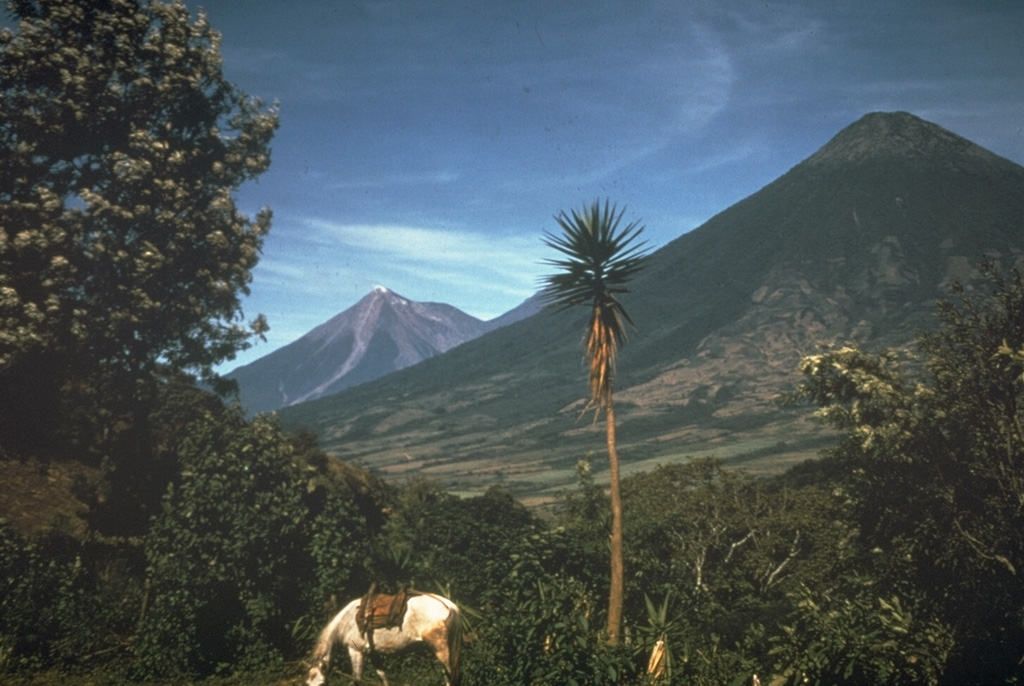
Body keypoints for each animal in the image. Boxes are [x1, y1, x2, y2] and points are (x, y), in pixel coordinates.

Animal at [305, 589, 462, 686]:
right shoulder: (373, 653)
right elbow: (382, 676)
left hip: (441, 651)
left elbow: (357, 679)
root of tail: (450, 606)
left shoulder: (356, 651)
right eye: (307, 684)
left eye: (322, 684)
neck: (347, 621)